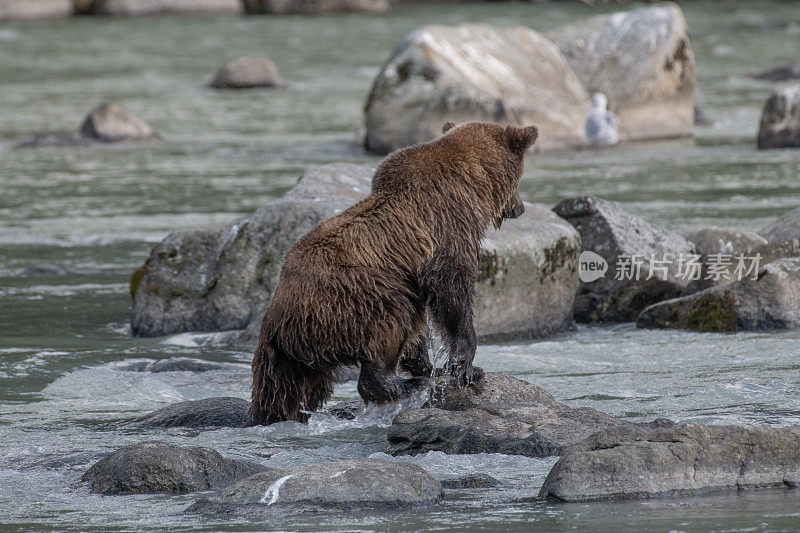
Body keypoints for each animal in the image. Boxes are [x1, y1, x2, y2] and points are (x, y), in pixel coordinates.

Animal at [250, 120, 536, 424]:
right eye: (519, 180)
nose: (520, 207)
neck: (471, 187)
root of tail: (277, 317)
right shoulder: (446, 226)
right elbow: (452, 288)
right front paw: (466, 368)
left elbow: (422, 323)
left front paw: (430, 365)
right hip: (350, 296)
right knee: (391, 315)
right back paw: (404, 385)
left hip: (293, 356)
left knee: (283, 392)